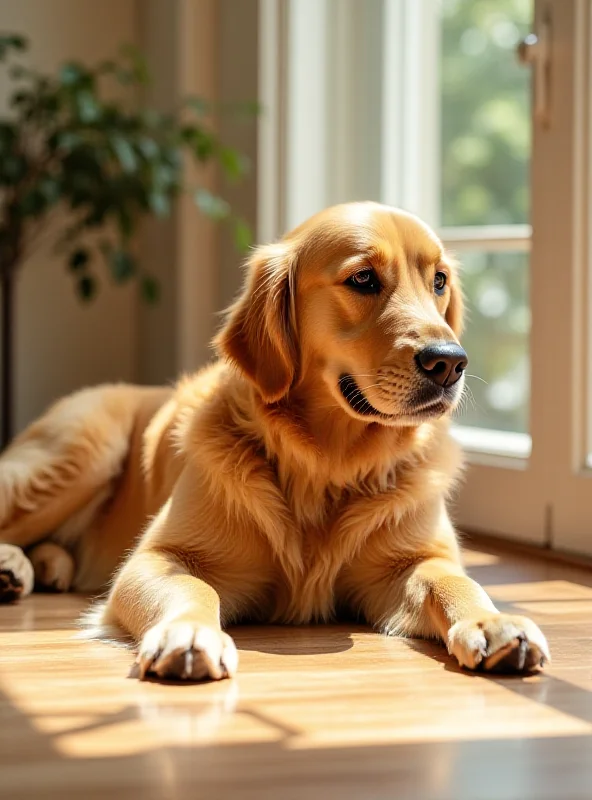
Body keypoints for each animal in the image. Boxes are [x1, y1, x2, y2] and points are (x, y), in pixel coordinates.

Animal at [0, 203, 552, 680]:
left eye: (439, 280)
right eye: (363, 279)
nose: (450, 362)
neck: (326, 464)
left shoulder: (413, 562)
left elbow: (455, 581)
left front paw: (493, 621)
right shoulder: (158, 557)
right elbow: (192, 589)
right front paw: (189, 633)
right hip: (82, 453)